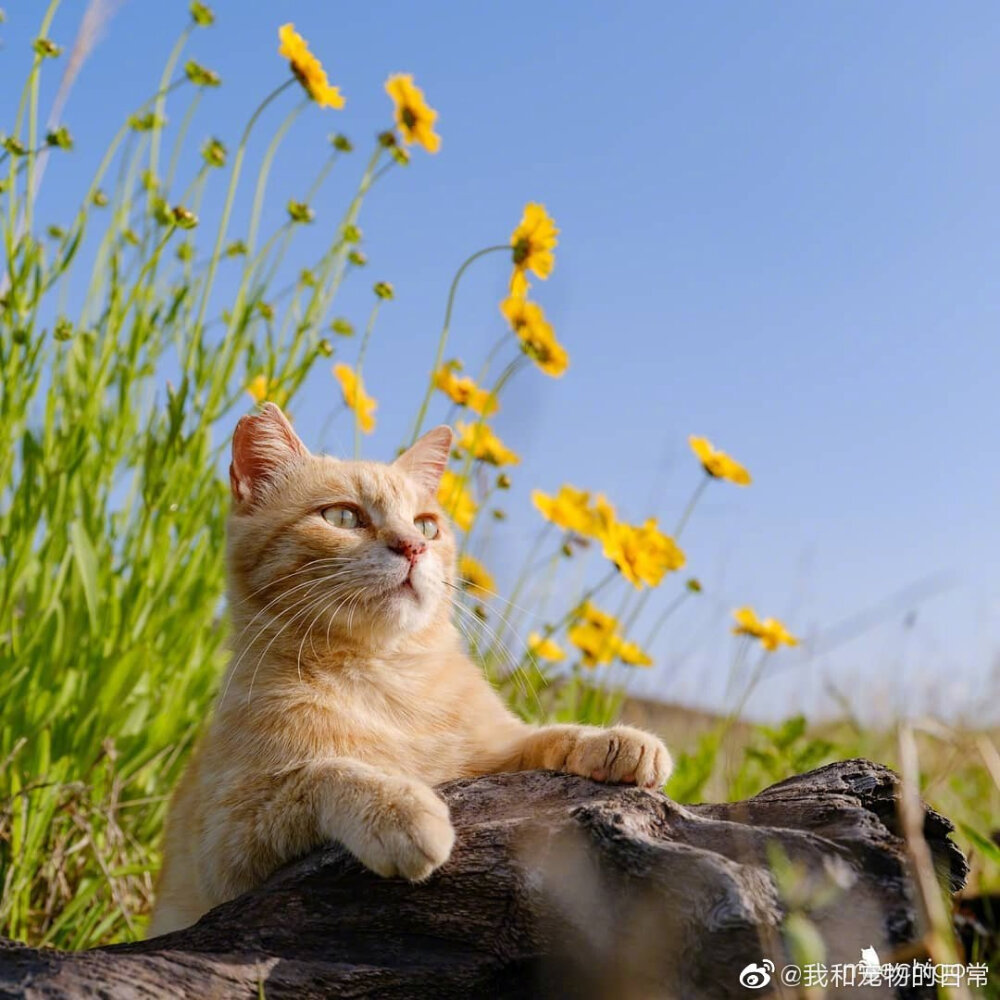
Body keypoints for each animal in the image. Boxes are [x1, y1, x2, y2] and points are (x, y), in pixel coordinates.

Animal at [148, 402, 672, 932]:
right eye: (343, 516)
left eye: (425, 526)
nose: (412, 547)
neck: (387, 675)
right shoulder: (226, 848)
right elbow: (323, 772)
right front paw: (399, 807)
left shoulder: (490, 754)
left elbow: (542, 737)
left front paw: (612, 742)